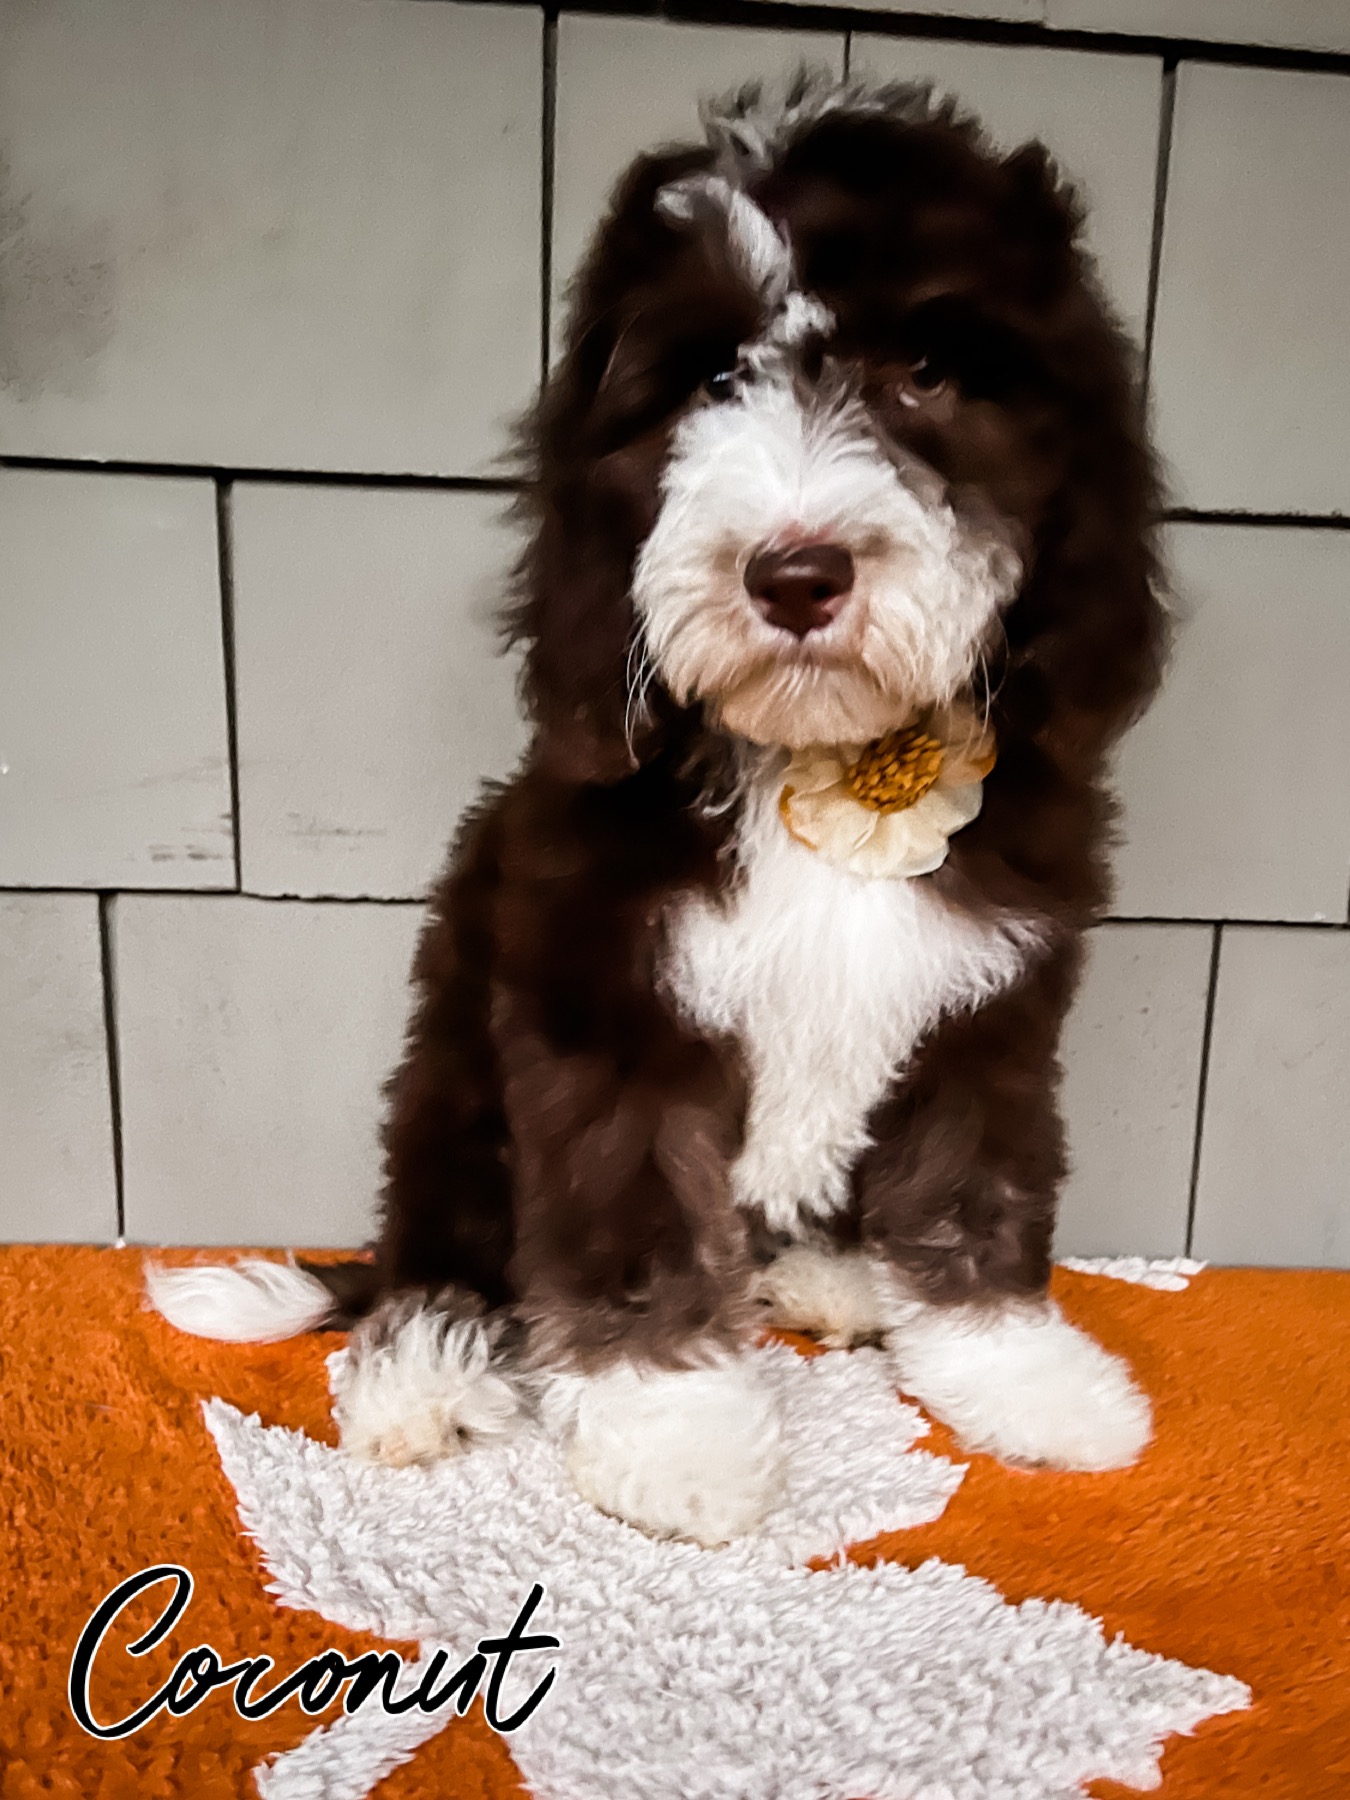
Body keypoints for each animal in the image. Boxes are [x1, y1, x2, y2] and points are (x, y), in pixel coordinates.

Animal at [147, 73, 1166, 1548]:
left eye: (926, 373)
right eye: (706, 383)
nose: (794, 573)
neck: (815, 754)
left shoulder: (987, 1001)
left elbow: (976, 1185)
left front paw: (1019, 1374)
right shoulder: (601, 998)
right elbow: (633, 1222)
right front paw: (676, 1432)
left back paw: (826, 1280)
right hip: (450, 1089)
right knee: (438, 1255)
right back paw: (424, 1371)